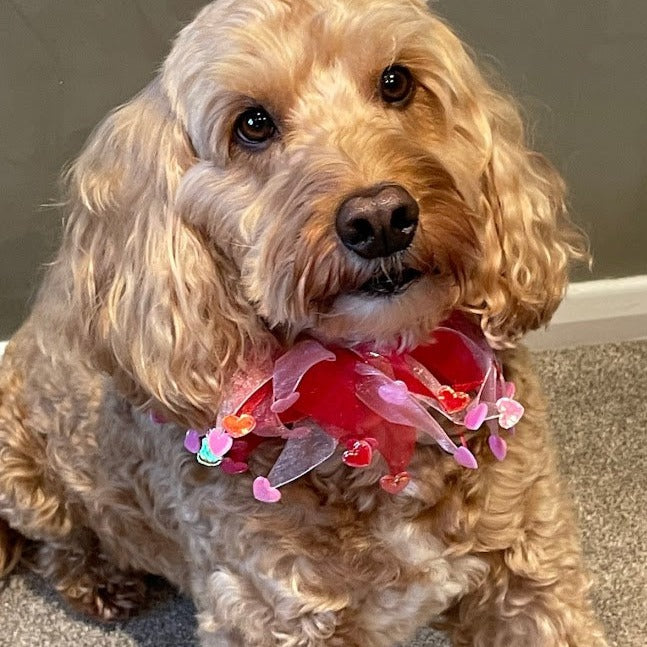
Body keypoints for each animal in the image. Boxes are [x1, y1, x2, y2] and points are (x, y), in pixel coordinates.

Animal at [0, 1, 608, 647]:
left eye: (396, 82)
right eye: (252, 124)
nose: (380, 219)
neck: (377, 380)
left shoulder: (531, 571)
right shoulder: (271, 615)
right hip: (27, 478)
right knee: (60, 542)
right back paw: (98, 579)